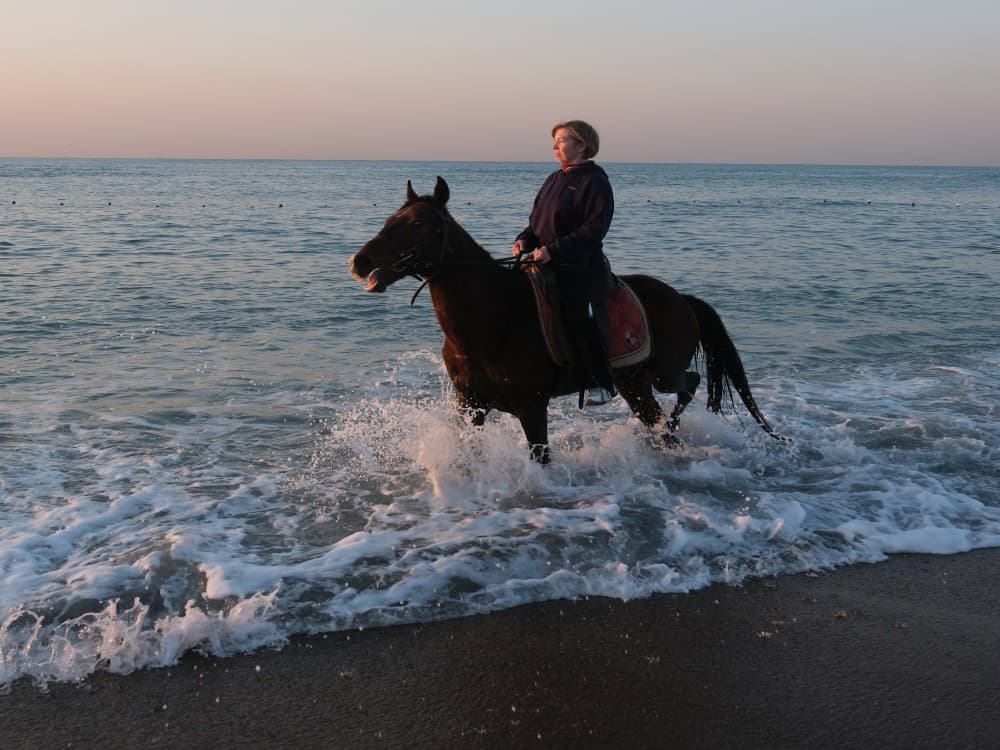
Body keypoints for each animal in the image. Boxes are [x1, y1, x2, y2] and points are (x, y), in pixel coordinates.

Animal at [349, 177, 780, 463]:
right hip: (633, 382)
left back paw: (670, 428)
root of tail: (682, 299)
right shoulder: (469, 405)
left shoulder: (531, 407)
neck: (493, 318)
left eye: (418, 223)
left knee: (688, 384)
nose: (360, 261)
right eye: (391, 218)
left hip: (659, 374)